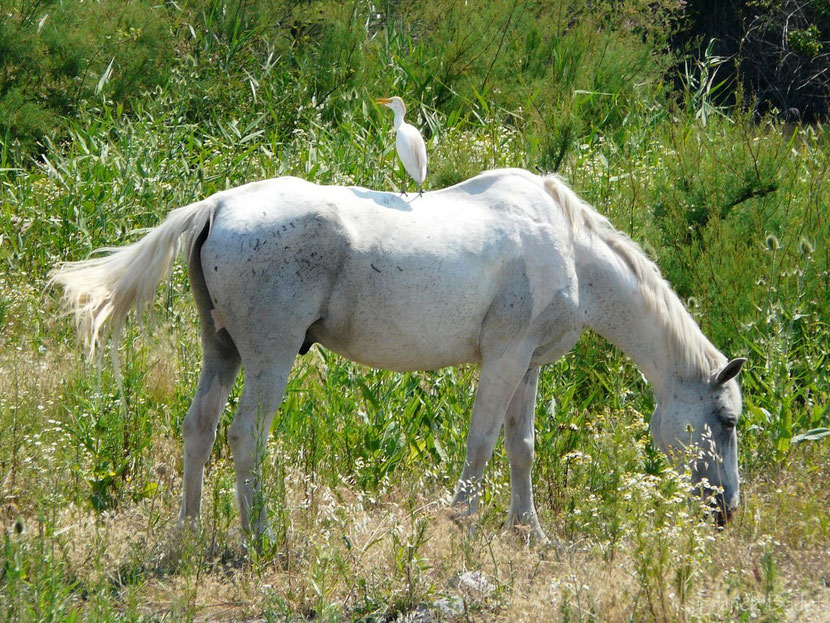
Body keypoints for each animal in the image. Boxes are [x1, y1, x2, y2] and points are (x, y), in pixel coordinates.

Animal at [48, 168, 748, 544]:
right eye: (727, 420)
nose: (727, 512)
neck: (569, 249)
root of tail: (217, 205)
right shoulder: (504, 359)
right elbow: (482, 443)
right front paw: (461, 522)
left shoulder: (529, 367)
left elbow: (521, 448)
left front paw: (529, 530)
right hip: (269, 359)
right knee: (246, 436)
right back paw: (261, 537)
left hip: (220, 352)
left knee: (199, 429)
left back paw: (190, 529)